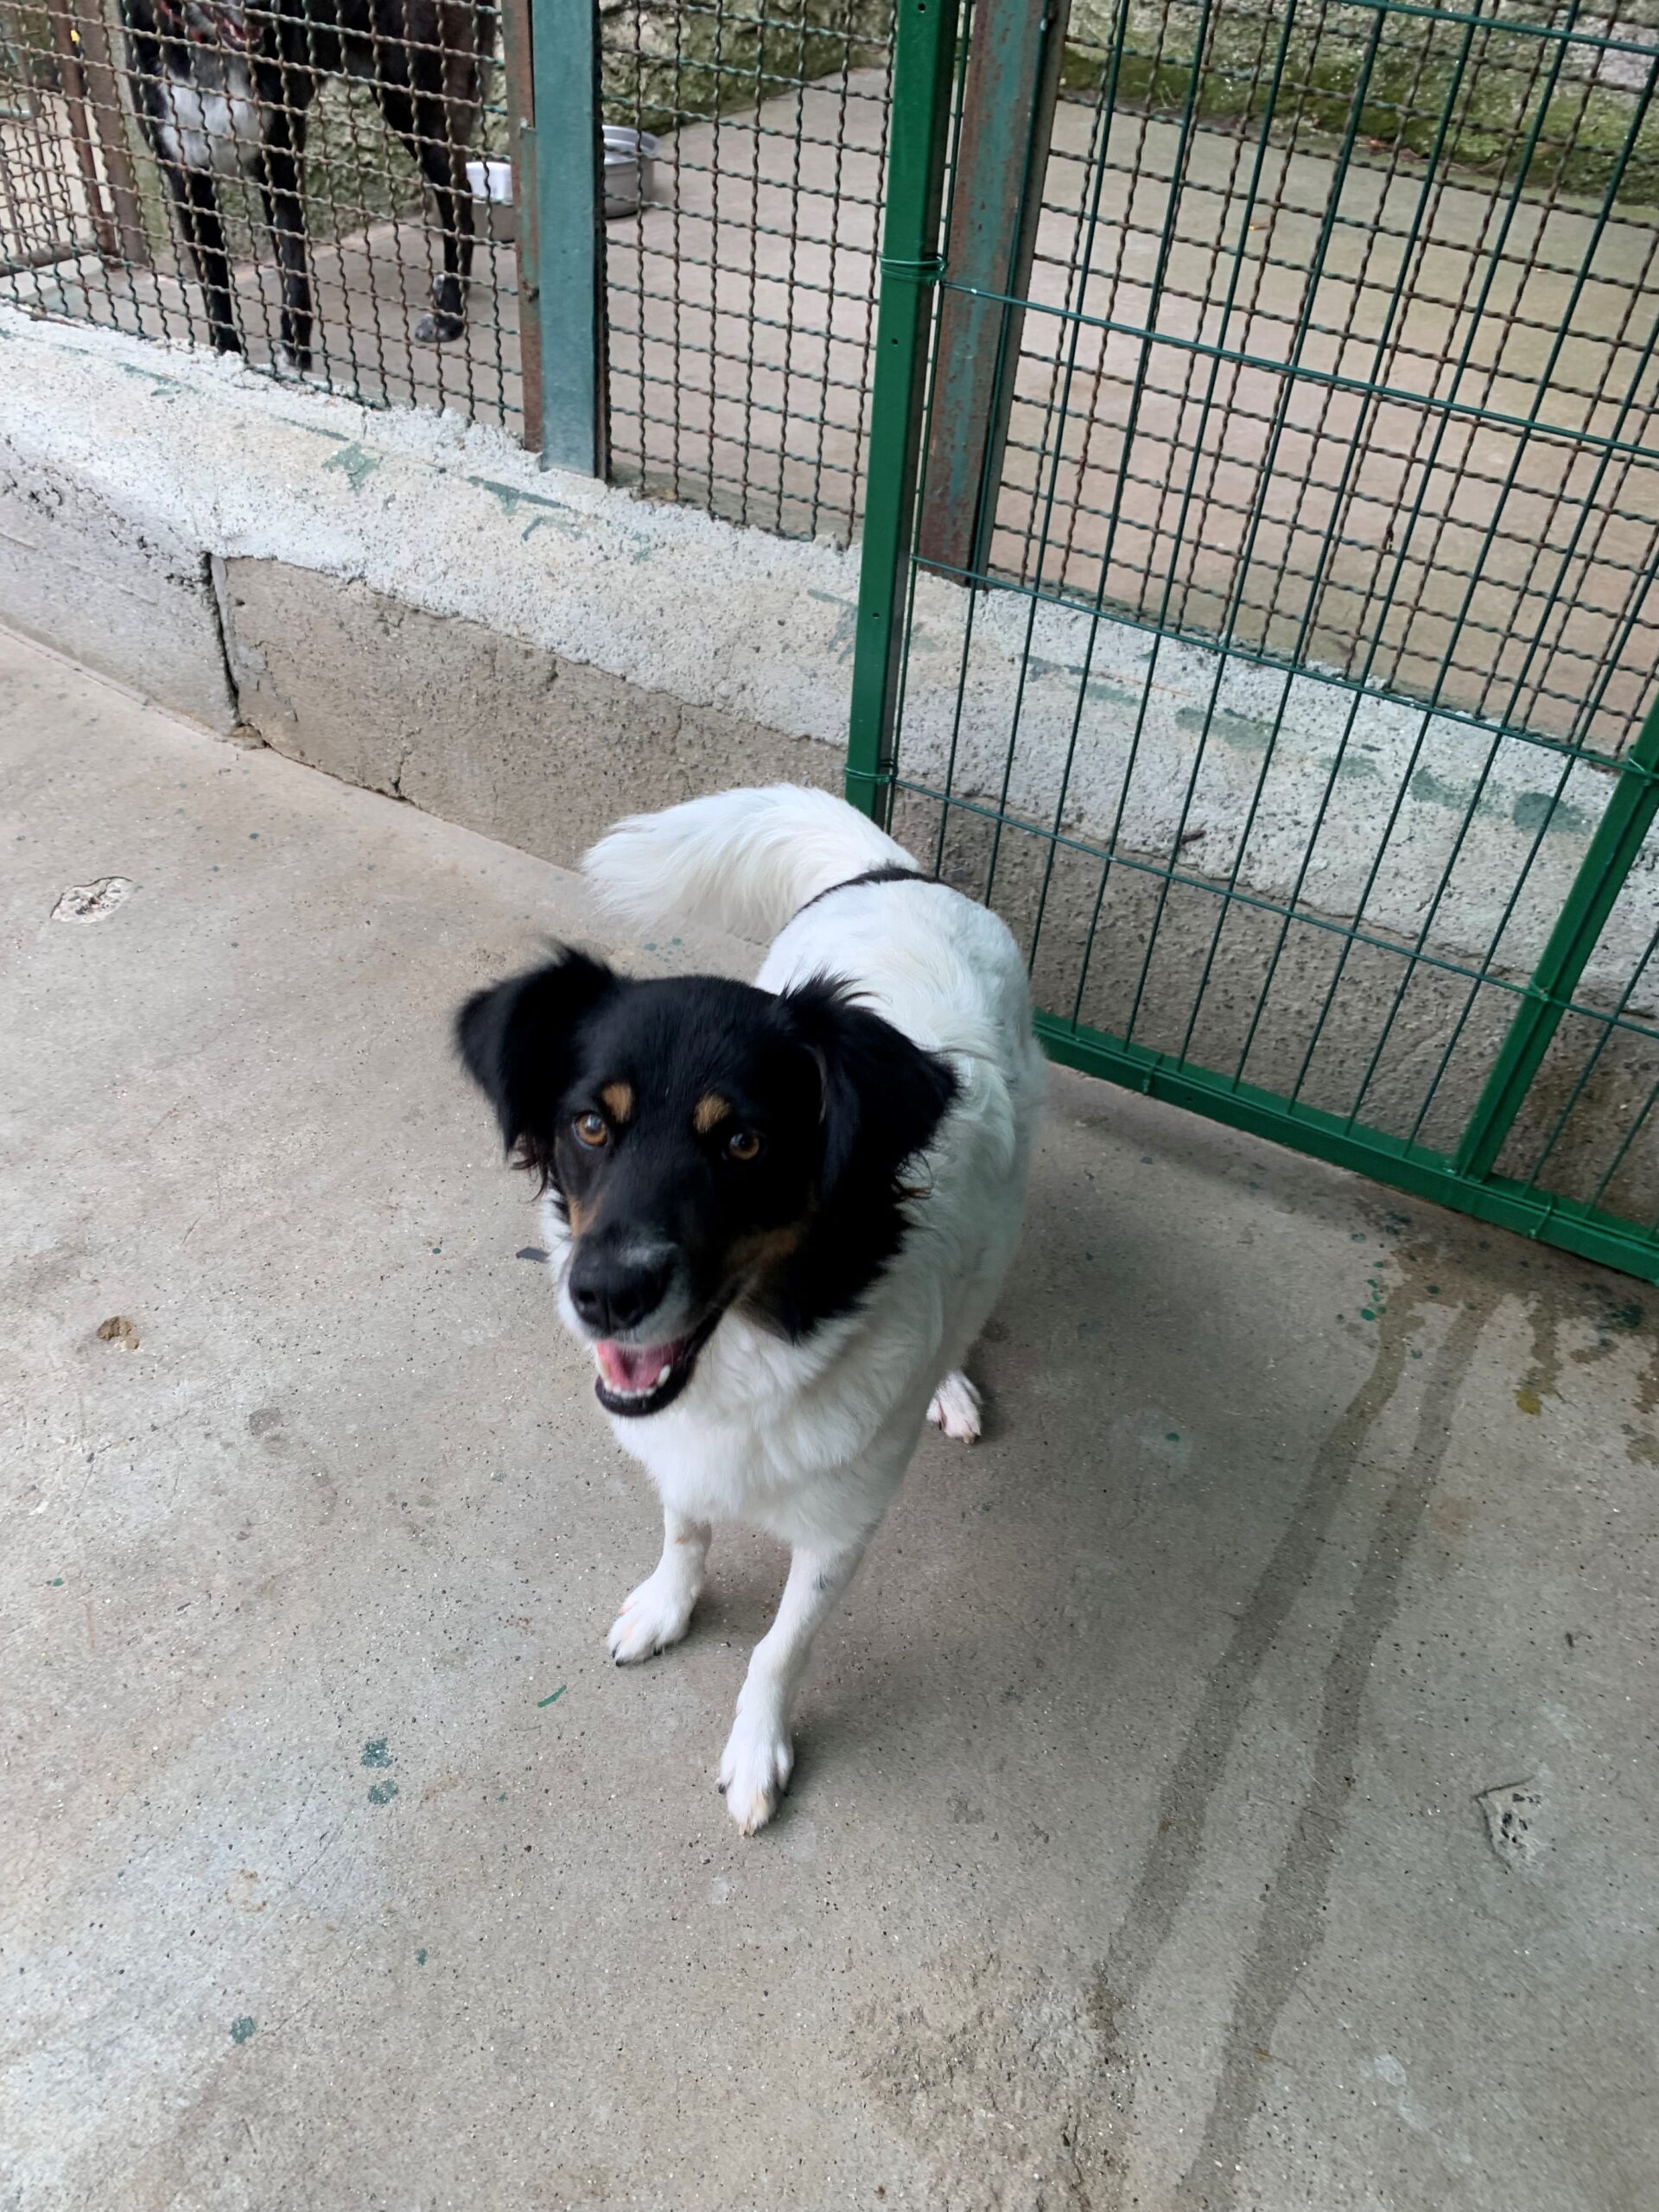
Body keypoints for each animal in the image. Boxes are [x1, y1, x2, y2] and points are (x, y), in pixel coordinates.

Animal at [121, 0, 486, 369]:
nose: (266, 9)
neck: (210, 48)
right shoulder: (187, 177)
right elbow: (214, 279)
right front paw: (226, 349)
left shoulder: (280, 158)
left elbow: (293, 266)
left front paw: (294, 351)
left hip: (412, 105)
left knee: (460, 201)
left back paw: (449, 315)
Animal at [457, 786, 1046, 1832]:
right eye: (590, 1124)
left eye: (743, 1143)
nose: (602, 1297)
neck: (761, 1349)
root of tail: (897, 872)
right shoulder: (681, 1450)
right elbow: (685, 1530)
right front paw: (667, 1606)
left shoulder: (840, 1528)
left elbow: (781, 1645)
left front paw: (756, 1750)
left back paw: (950, 1387)